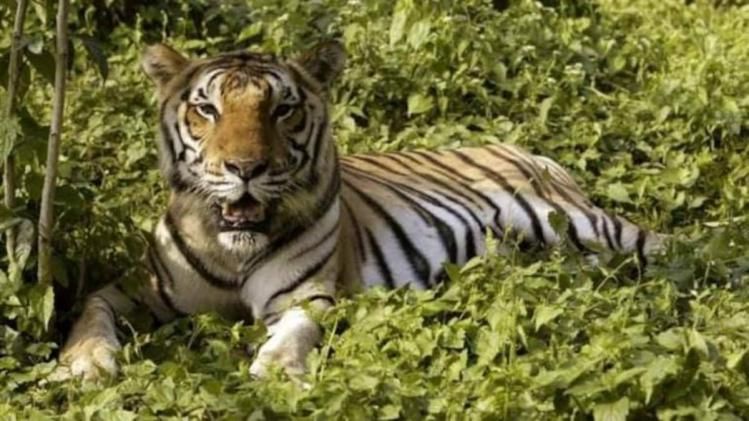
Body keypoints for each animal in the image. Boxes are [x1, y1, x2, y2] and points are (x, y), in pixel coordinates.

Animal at [55, 41, 664, 380]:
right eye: (207, 109)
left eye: (283, 110)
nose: (245, 167)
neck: (232, 253)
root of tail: (521, 147)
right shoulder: (139, 287)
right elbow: (89, 310)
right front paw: (83, 364)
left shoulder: (308, 296)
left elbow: (294, 333)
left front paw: (277, 373)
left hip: (579, 222)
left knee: (660, 244)